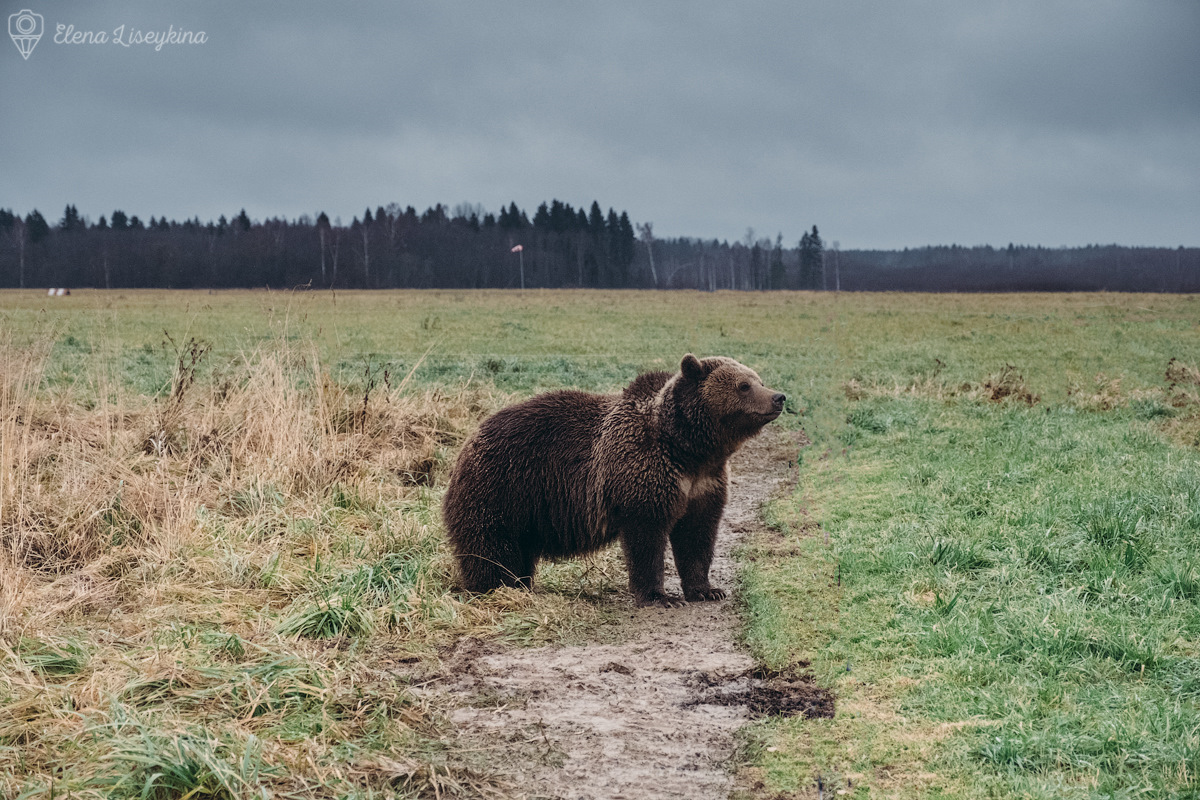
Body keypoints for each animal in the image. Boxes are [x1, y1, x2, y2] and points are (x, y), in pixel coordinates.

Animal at [441, 355, 787, 606]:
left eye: (758, 379)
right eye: (744, 385)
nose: (779, 397)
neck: (688, 448)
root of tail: (468, 440)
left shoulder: (704, 484)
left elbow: (697, 535)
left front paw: (707, 590)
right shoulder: (643, 474)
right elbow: (646, 538)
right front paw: (659, 596)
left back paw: (520, 585)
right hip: (502, 487)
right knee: (490, 547)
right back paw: (496, 588)